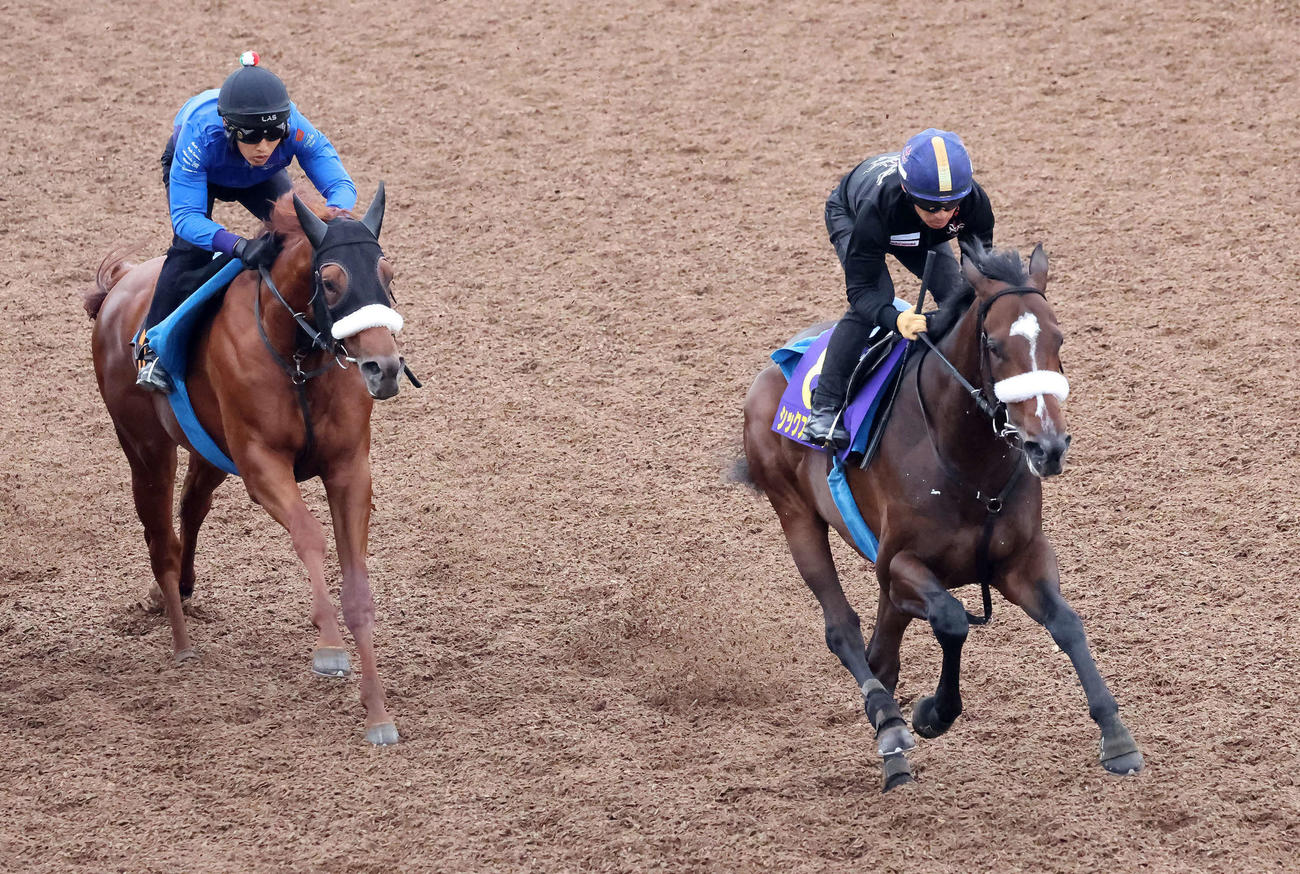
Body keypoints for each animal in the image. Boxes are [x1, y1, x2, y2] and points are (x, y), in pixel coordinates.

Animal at [85, 186, 408, 745]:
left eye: (388, 276)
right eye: (330, 281)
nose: (384, 369)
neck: (297, 357)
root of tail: (118, 289)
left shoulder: (349, 470)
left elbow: (357, 586)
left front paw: (378, 715)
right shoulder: (261, 464)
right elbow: (309, 535)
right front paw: (328, 648)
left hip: (209, 449)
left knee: (191, 507)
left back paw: (183, 590)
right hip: (146, 448)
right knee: (159, 536)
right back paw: (180, 642)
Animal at [739, 242, 1143, 790]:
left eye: (1059, 337)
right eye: (993, 344)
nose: (1049, 446)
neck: (968, 464)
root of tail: (774, 368)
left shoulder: (1018, 559)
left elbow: (1068, 624)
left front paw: (1116, 736)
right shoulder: (899, 564)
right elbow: (952, 620)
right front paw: (934, 712)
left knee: (881, 653)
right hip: (796, 515)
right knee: (844, 630)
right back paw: (889, 726)